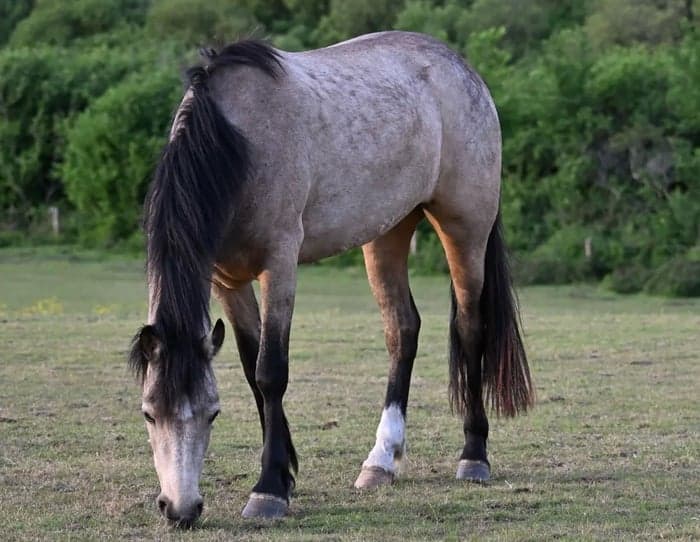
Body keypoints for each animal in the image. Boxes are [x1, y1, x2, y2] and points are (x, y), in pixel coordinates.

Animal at [128, 31, 533, 527]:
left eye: (212, 413)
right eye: (149, 414)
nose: (180, 509)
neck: (237, 141)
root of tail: (462, 68)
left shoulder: (279, 263)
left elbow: (270, 372)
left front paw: (268, 490)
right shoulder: (227, 280)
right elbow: (250, 367)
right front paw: (285, 474)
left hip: (465, 228)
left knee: (471, 328)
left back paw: (473, 456)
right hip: (387, 233)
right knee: (403, 331)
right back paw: (381, 460)